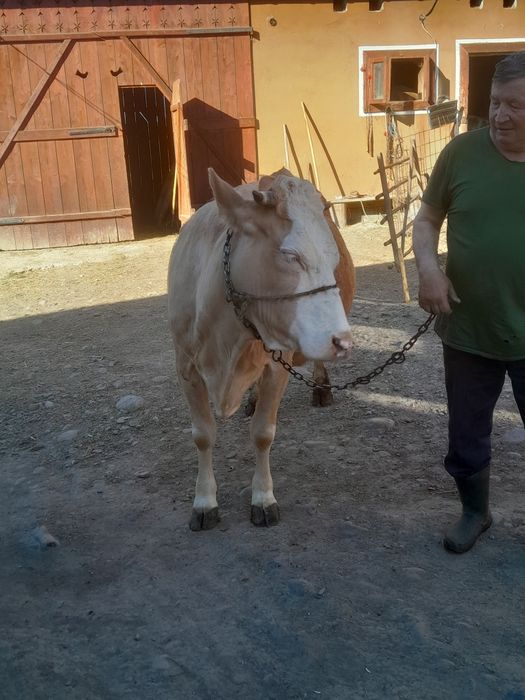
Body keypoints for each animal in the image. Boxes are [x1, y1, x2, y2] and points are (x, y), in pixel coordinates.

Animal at [168, 168, 354, 530]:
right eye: (290, 255)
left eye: (334, 258)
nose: (342, 341)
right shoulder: (185, 363)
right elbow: (202, 434)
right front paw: (204, 501)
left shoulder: (278, 364)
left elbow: (263, 434)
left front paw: (263, 498)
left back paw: (322, 387)